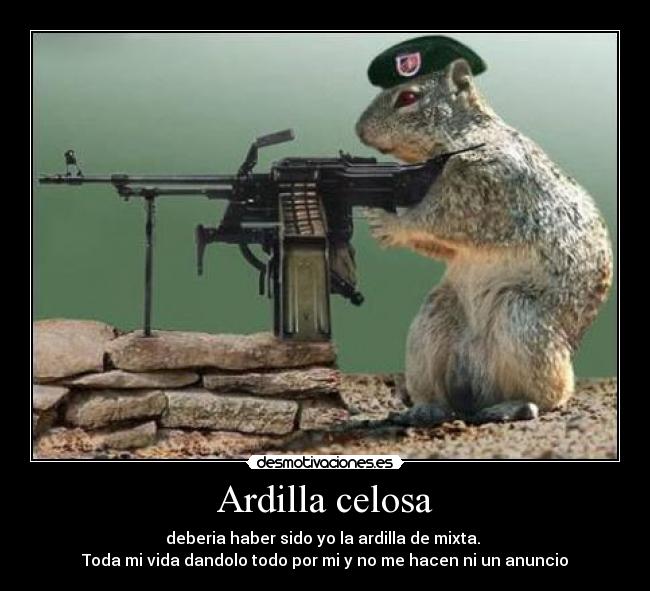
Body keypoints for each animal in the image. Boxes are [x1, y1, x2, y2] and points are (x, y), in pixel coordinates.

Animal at [355, 58, 613, 425]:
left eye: (408, 97)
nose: (359, 130)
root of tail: (477, 388)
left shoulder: (486, 186)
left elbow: (444, 215)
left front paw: (391, 221)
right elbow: (444, 246)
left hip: (521, 317)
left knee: (554, 394)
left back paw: (514, 406)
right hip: (434, 318)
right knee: (443, 395)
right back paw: (424, 408)